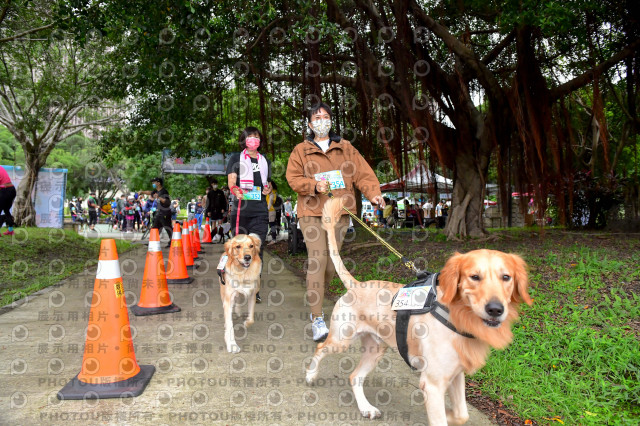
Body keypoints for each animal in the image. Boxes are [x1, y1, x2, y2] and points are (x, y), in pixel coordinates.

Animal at [308, 198, 532, 424]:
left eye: (506, 277)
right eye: (474, 277)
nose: (495, 309)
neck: (456, 317)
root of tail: (356, 284)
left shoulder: (456, 374)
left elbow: (462, 414)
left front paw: (449, 413)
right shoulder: (433, 384)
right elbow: (440, 416)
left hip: (375, 349)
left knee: (355, 376)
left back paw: (366, 408)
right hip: (340, 340)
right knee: (319, 349)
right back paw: (310, 374)